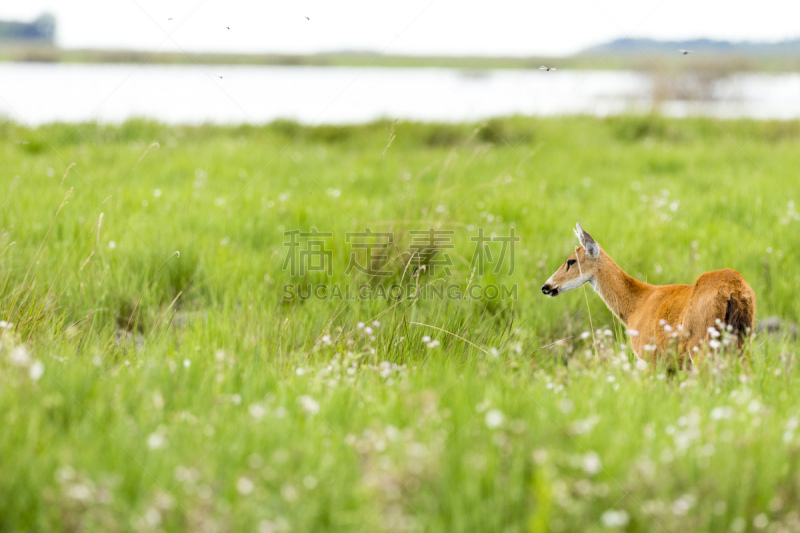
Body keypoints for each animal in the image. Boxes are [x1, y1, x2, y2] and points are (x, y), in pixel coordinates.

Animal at [536, 220, 756, 362]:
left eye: (571, 261)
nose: (546, 287)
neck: (636, 304)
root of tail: (734, 289)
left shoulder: (648, 355)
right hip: (742, 338)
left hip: (702, 343)